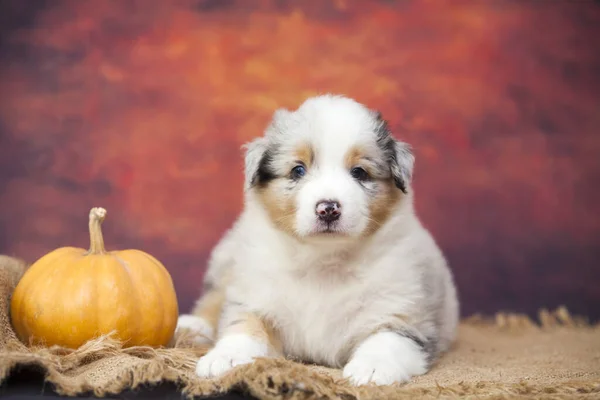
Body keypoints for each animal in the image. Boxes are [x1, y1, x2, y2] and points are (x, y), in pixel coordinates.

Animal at [178, 94, 460, 388]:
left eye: (359, 172)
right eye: (298, 170)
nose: (328, 208)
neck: (324, 260)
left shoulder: (405, 312)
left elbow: (388, 340)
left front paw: (371, 368)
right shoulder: (254, 296)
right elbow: (243, 326)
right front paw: (226, 358)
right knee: (214, 296)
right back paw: (191, 326)